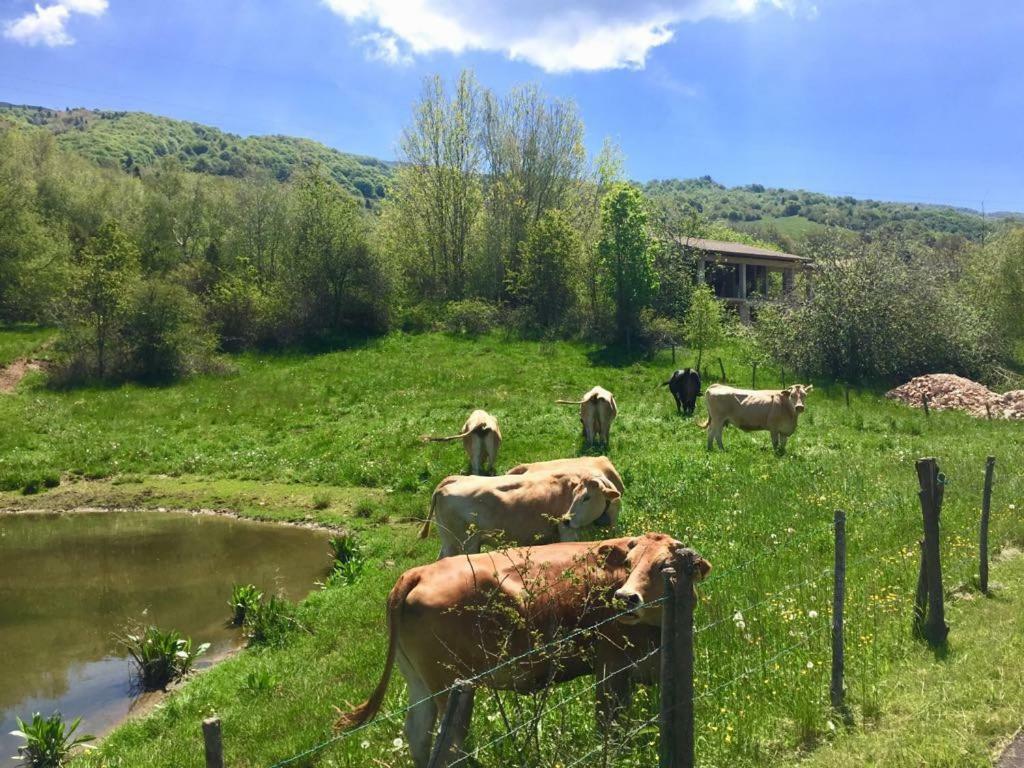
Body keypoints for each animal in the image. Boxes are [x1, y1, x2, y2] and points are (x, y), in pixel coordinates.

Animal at [335, 536, 712, 768]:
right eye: (630, 563)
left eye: (663, 565)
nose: (625, 597)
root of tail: (419, 571)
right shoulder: (611, 668)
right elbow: (611, 726)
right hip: (455, 687)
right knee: (451, 745)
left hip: (420, 684)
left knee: (417, 733)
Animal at [417, 468, 618, 561]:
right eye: (574, 495)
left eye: (586, 497)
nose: (566, 520)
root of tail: (450, 481)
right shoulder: (567, 534)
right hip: (466, 544)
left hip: (449, 543)